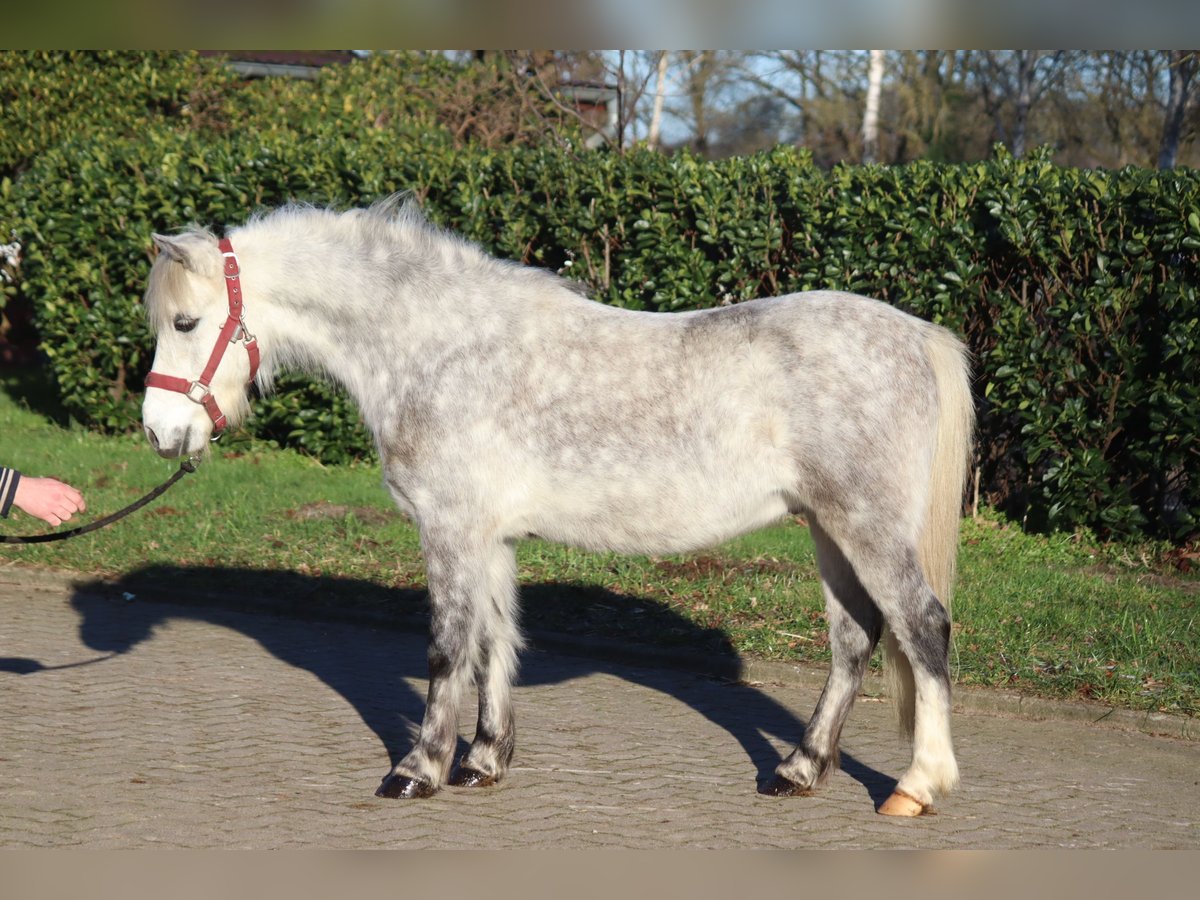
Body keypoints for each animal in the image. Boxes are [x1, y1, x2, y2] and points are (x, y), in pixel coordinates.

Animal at [140, 196, 969, 816]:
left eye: (185, 323)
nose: (159, 432)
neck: (437, 348)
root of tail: (915, 335)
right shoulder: (489, 538)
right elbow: (491, 644)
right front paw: (483, 761)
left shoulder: (450, 529)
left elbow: (446, 647)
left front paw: (418, 770)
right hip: (829, 528)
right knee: (854, 641)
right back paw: (799, 769)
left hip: (865, 525)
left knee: (922, 628)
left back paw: (916, 787)